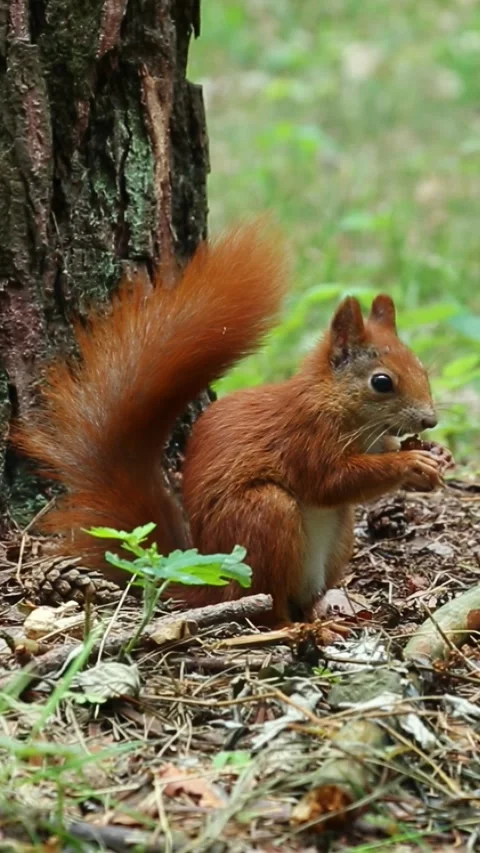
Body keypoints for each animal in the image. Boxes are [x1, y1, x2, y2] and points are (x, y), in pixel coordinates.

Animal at [13, 222, 453, 624]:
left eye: (421, 369)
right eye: (382, 382)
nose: (429, 420)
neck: (346, 414)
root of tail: (212, 586)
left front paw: (437, 455)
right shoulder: (305, 436)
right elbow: (329, 481)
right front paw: (409, 463)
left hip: (335, 539)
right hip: (264, 515)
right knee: (271, 604)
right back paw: (294, 627)